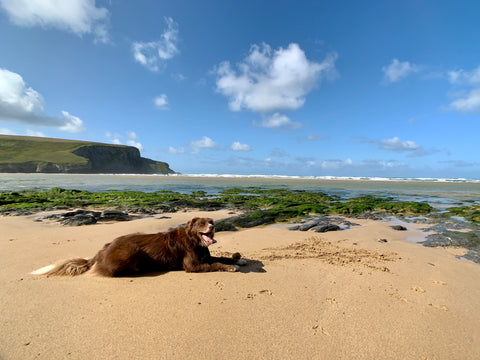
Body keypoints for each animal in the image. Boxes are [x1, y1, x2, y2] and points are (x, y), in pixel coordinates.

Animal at [31, 217, 246, 278]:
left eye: (211, 221)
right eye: (202, 223)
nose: (213, 226)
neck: (195, 241)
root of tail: (102, 250)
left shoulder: (205, 256)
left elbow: (220, 257)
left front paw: (239, 259)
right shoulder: (191, 265)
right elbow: (216, 264)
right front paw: (231, 267)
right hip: (130, 250)